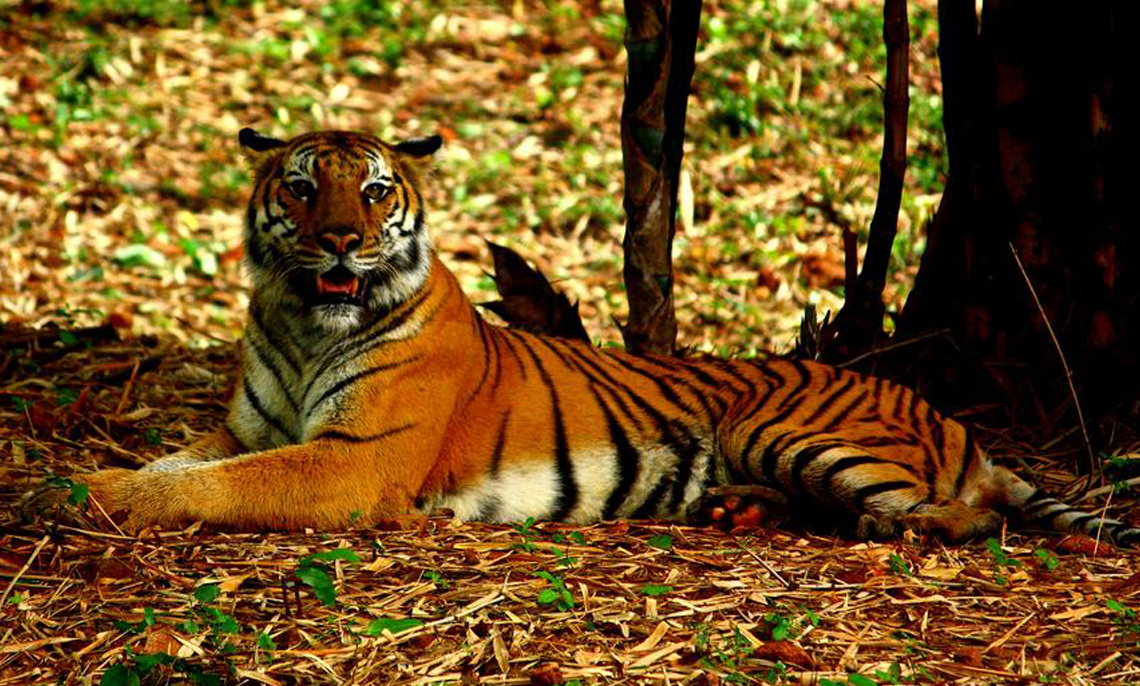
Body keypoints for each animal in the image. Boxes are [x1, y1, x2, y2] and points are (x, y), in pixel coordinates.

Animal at [22, 128, 1135, 544]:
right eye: (300, 186)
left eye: (373, 190)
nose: (340, 236)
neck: (301, 320)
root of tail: (949, 417)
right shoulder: (246, 431)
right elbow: (177, 459)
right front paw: (69, 482)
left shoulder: (347, 461)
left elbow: (203, 487)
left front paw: (90, 496)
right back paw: (736, 510)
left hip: (796, 430)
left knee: (962, 518)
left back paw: (892, 529)